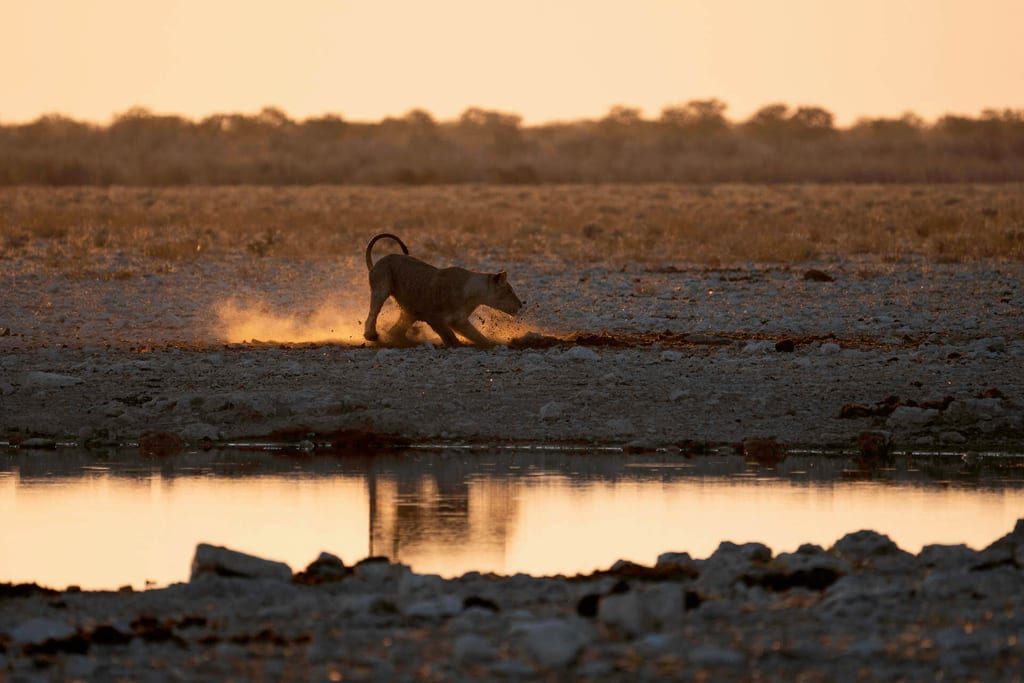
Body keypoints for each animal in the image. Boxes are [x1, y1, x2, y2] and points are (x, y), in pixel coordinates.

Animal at [363, 233, 523, 347]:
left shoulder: (459, 321)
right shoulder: (434, 317)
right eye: (509, 291)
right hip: (382, 287)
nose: (521, 305)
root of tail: (378, 262)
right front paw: (457, 345)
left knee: (394, 331)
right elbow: (449, 336)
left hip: (410, 311)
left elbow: (477, 336)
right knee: (373, 313)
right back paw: (371, 335)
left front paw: (493, 344)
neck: (473, 295)